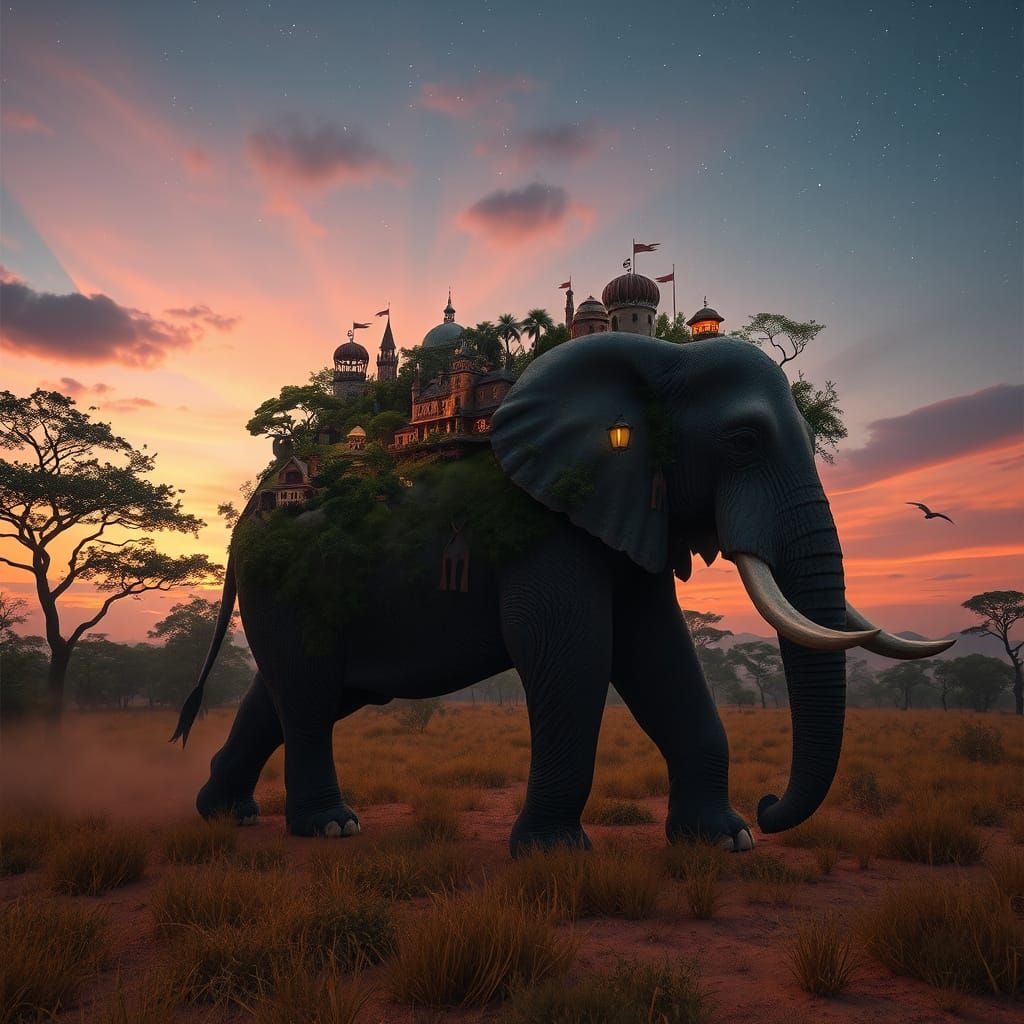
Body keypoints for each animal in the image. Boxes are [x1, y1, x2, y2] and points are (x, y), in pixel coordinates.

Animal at [173, 334, 951, 854]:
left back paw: (225, 812)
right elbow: (571, 650)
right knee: (307, 695)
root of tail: (254, 507)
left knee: (296, 694)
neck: (654, 358)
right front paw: (552, 854)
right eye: (742, 440)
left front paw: (723, 842)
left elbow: (659, 655)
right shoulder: (544, 520)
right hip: (284, 581)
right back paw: (330, 827)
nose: (768, 807)